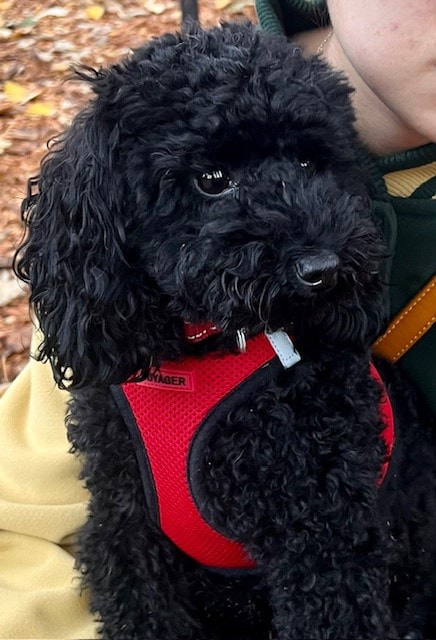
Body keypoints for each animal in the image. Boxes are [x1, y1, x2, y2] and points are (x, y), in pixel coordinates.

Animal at [15, 22, 436, 636]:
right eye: (212, 180)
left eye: (309, 163)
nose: (325, 269)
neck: (201, 351)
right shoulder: (125, 519)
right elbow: (139, 604)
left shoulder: (323, 541)